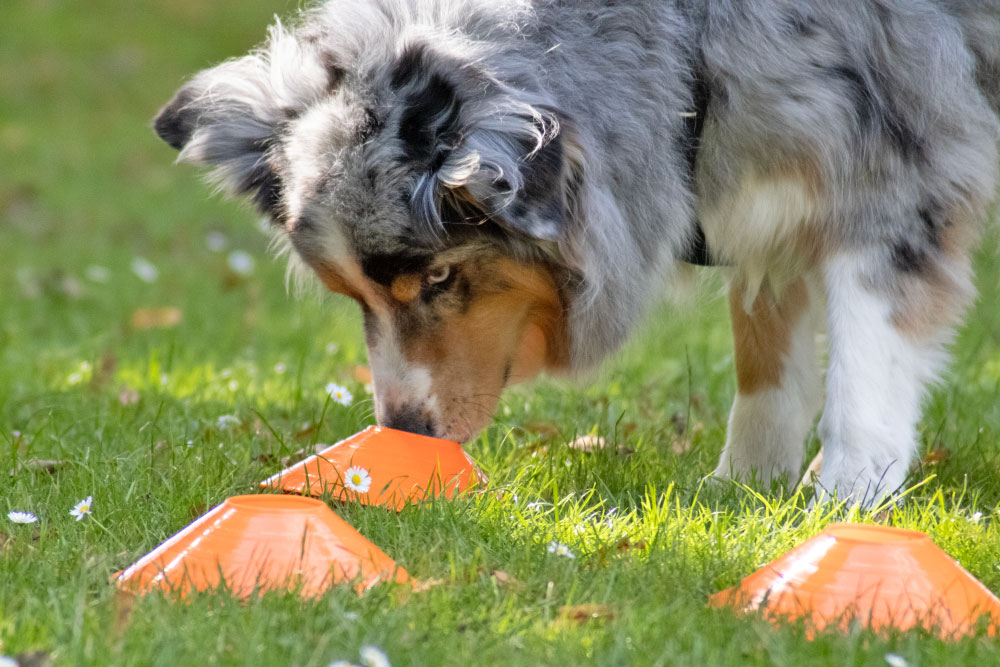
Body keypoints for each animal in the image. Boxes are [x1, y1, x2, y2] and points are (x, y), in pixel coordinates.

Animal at [150, 0, 1000, 506]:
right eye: (354, 296)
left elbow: (863, 376)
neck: (687, 40)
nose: (406, 431)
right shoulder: (763, 187)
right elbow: (764, 353)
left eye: (439, 275)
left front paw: (841, 509)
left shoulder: (894, 180)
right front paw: (743, 488)